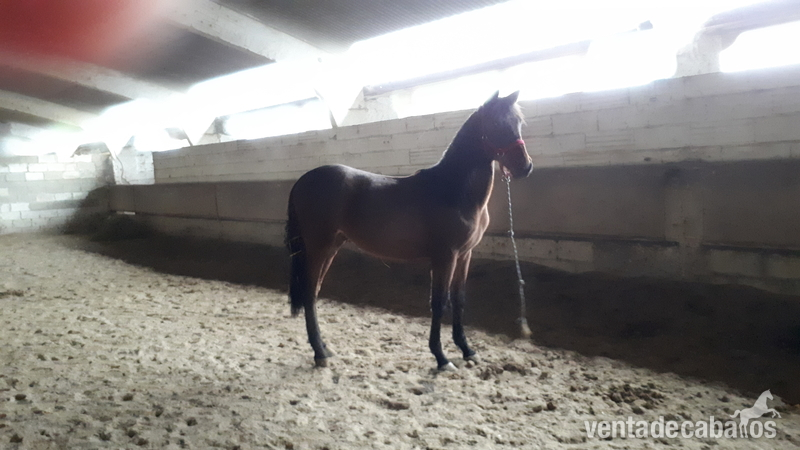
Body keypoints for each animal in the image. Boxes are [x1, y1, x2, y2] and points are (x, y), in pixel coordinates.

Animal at [285, 91, 532, 370]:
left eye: (519, 122)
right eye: (495, 124)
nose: (525, 167)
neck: (452, 190)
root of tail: (303, 180)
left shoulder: (464, 255)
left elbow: (459, 300)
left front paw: (467, 350)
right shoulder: (445, 256)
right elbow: (439, 302)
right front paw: (441, 358)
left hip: (331, 246)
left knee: (314, 292)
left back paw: (325, 348)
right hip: (319, 246)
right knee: (308, 292)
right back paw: (319, 353)